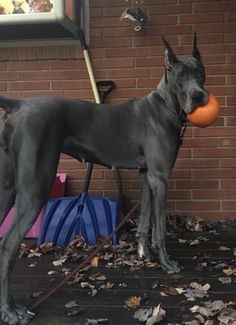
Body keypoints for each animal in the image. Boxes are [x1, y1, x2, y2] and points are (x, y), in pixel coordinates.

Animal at [0, 34, 206, 322]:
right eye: (180, 75)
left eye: (200, 72)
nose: (199, 96)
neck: (165, 104)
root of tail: (19, 104)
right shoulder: (160, 177)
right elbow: (159, 228)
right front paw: (166, 263)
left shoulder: (147, 176)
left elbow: (144, 221)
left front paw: (144, 255)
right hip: (34, 186)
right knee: (8, 245)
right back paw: (10, 310)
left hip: (5, 187)